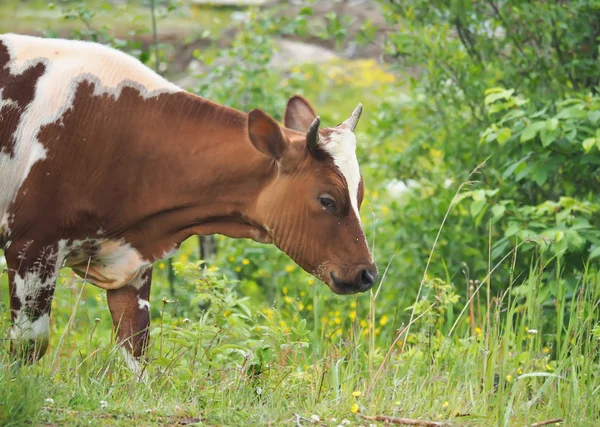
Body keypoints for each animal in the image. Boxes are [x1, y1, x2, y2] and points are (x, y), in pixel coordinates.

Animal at [0, 34, 376, 372]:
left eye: (359, 195)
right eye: (327, 199)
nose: (367, 274)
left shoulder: (132, 265)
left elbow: (135, 348)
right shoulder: (32, 248)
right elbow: (28, 346)